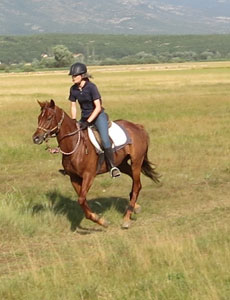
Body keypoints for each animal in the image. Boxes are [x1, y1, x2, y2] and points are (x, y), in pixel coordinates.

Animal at [32, 99, 159, 229]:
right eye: (39, 117)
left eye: (49, 117)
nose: (36, 138)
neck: (75, 144)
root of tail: (138, 126)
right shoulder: (74, 178)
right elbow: (82, 200)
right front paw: (99, 219)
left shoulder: (89, 175)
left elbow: (81, 199)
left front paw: (101, 220)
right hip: (122, 164)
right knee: (135, 183)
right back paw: (136, 207)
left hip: (136, 162)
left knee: (137, 185)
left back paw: (127, 218)